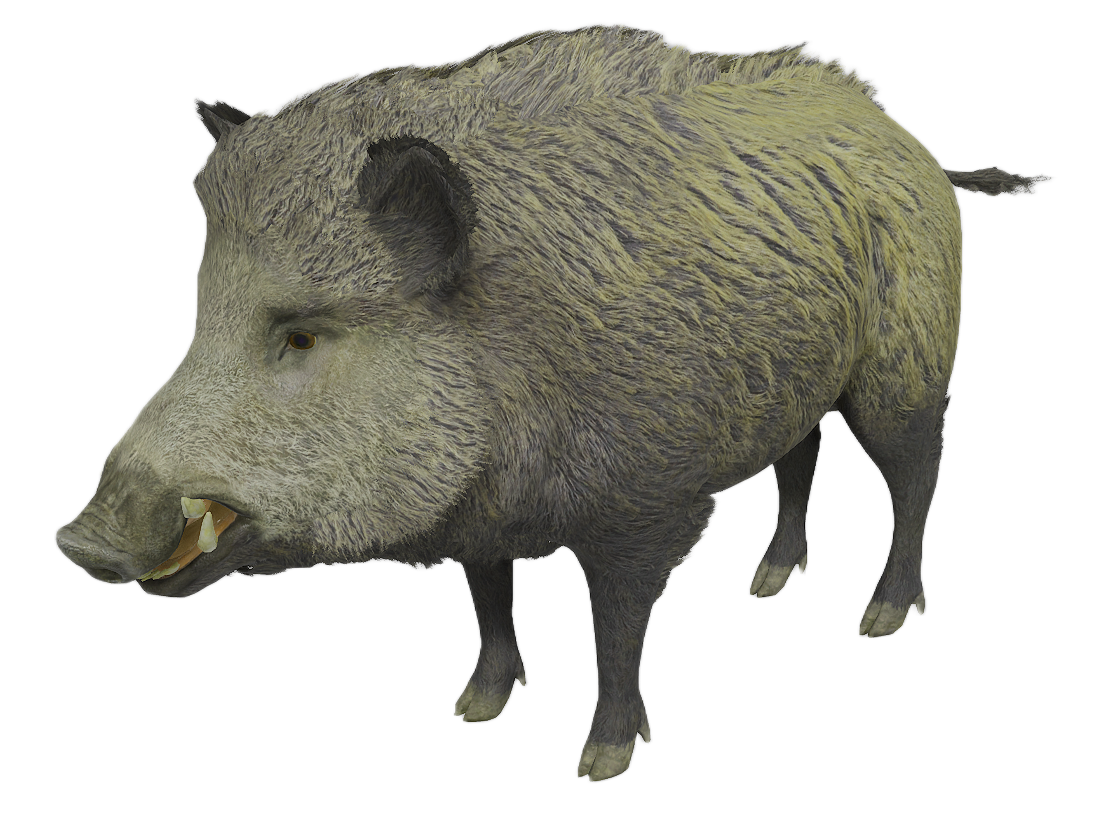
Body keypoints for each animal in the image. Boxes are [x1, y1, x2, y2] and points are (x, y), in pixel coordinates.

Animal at [54, 22, 1056, 781]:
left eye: (300, 335)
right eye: (200, 311)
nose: (78, 540)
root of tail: (916, 146)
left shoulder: (648, 501)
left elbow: (615, 624)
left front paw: (602, 760)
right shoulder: (480, 512)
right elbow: (487, 595)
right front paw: (473, 710)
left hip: (908, 363)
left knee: (916, 476)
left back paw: (881, 617)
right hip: (790, 383)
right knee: (800, 459)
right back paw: (767, 582)